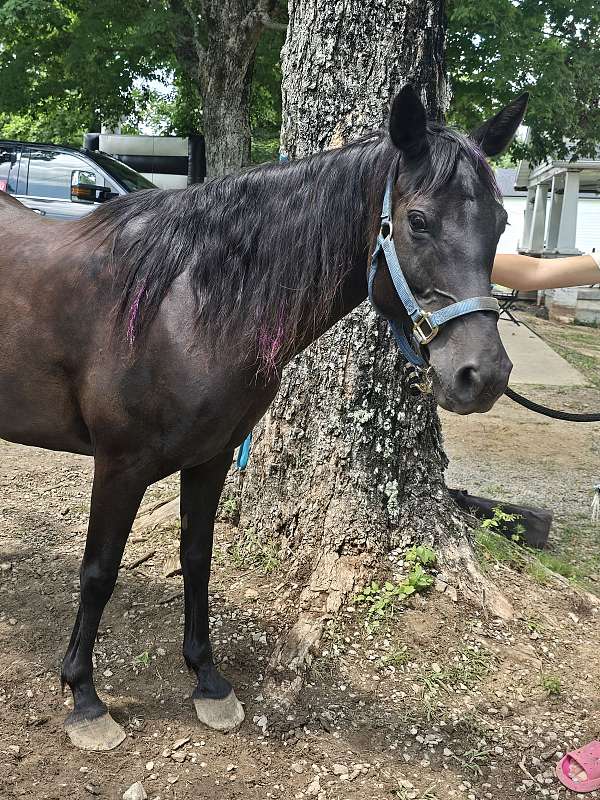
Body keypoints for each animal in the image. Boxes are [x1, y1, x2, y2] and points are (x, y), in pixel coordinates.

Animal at [0, 86, 526, 751]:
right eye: (418, 221)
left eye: (501, 224)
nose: (483, 376)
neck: (184, 309)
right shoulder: (119, 466)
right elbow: (99, 572)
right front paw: (85, 697)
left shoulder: (212, 457)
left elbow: (197, 557)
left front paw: (207, 679)